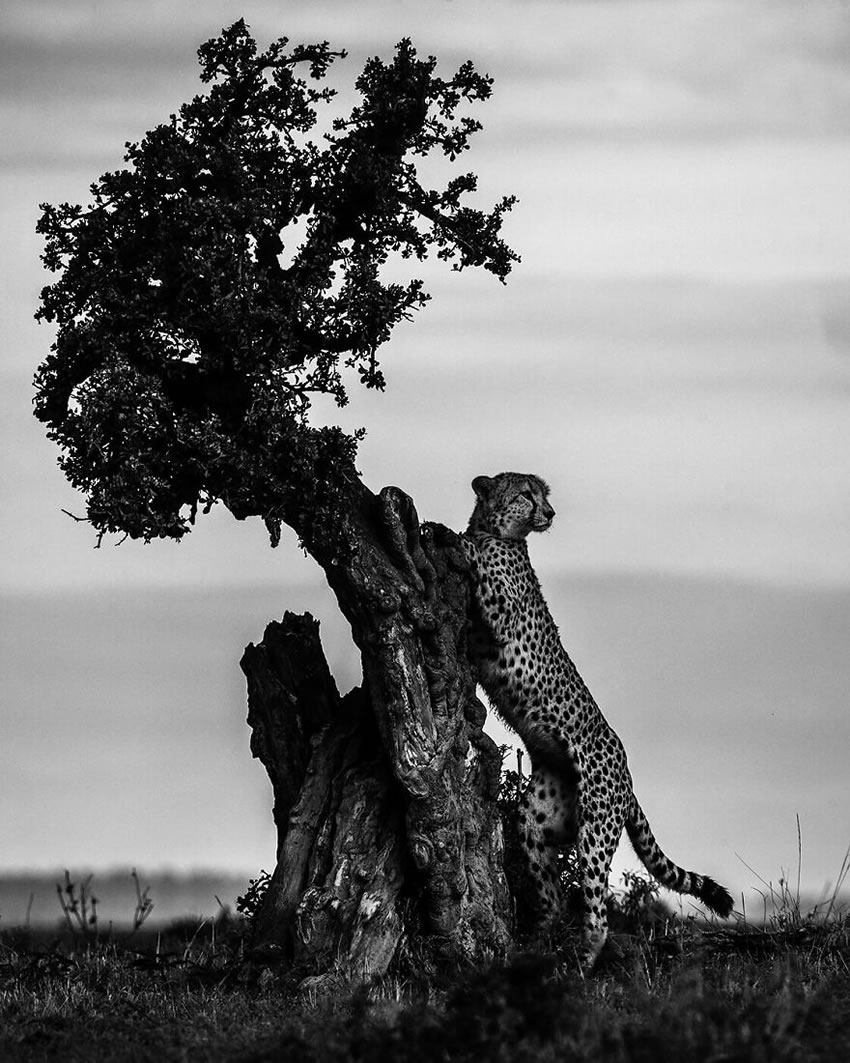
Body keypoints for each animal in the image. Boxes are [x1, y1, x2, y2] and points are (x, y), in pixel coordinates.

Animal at [461, 474, 735, 973]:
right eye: (527, 494)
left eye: (543, 494)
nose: (550, 513)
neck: (501, 533)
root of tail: (627, 774)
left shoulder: (500, 610)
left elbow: (477, 563)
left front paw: (450, 536)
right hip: (538, 818)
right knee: (551, 891)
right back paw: (540, 941)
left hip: (595, 828)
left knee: (598, 910)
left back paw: (580, 961)